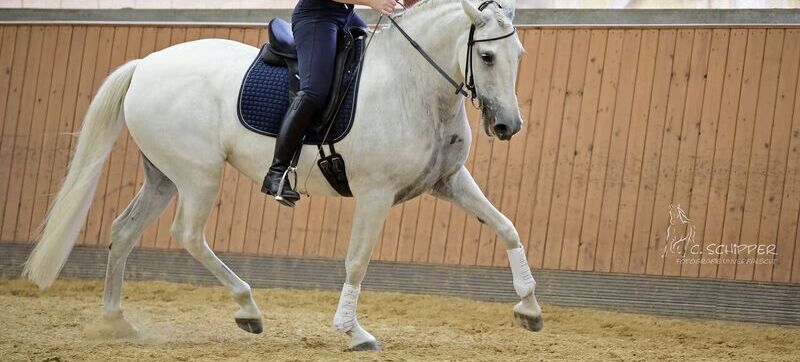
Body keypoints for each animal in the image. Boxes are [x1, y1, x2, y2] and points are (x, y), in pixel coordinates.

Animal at [21, 0, 544, 350]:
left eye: (520, 55)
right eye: (487, 57)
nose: (508, 126)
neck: (412, 85)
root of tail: (146, 65)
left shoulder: (448, 181)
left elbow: (507, 227)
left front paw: (529, 308)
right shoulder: (375, 194)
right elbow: (357, 262)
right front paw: (354, 332)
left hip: (163, 177)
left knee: (123, 231)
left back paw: (116, 322)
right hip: (198, 175)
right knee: (187, 234)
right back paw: (248, 308)